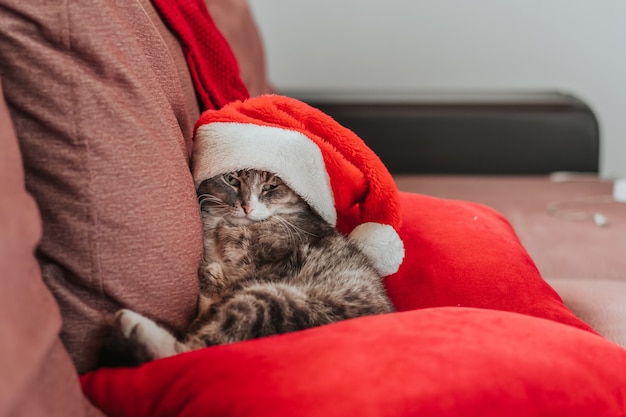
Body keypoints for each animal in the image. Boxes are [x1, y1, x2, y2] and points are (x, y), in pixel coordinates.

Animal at [113, 168, 390, 360]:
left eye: (270, 186)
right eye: (231, 179)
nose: (247, 206)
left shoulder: (271, 267)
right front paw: (211, 276)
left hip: (275, 302)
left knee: (190, 350)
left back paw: (133, 327)